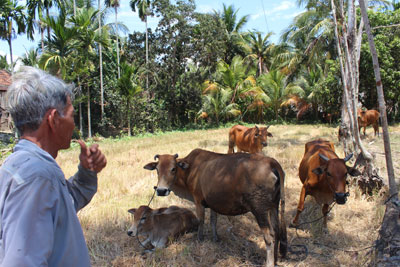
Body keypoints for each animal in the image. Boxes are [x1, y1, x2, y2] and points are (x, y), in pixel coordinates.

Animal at [144, 150, 288, 266]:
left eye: (173, 168)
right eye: (157, 169)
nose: (161, 190)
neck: (190, 170)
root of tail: (271, 161)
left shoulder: (198, 201)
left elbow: (201, 221)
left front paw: (200, 239)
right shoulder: (213, 202)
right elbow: (213, 221)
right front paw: (215, 238)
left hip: (259, 210)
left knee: (269, 236)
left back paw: (269, 263)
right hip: (274, 206)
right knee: (276, 231)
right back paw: (275, 260)